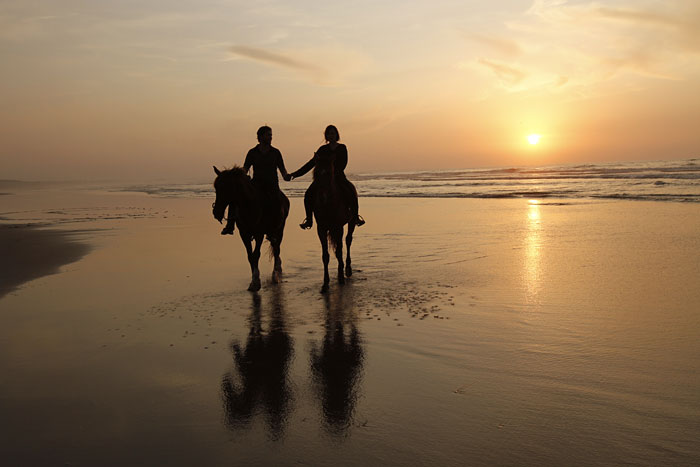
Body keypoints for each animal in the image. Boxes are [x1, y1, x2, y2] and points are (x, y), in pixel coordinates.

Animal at [310, 163, 356, 292]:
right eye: (315, 174)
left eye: (329, 174)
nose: (322, 197)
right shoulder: (321, 229)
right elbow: (325, 255)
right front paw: (325, 283)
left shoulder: (338, 227)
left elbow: (339, 251)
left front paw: (341, 277)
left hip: (351, 221)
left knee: (348, 240)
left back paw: (348, 269)